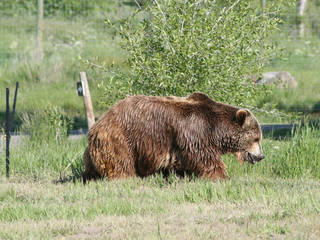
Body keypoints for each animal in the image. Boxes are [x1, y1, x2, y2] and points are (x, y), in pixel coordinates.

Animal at [82, 92, 264, 182]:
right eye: (256, 138)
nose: (261, 156)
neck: (215, 129)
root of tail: (97, 124)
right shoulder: (194, 132)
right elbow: (205, 158)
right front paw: (221, 176)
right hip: (121, 137)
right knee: (121, 161)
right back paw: (126, 178)